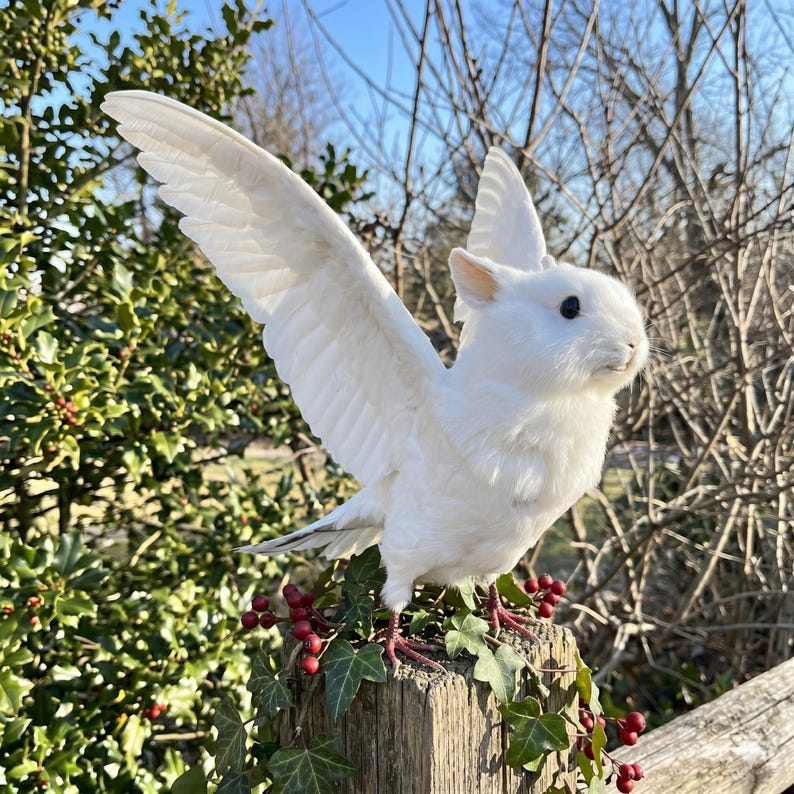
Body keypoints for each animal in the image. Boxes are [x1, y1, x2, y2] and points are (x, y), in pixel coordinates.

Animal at [102, 91, 649, 667]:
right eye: (570, 308)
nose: (635, 344)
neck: (546, 398)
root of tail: (375, 497)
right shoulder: (410, 549)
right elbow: (395, 598)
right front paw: (396, 647)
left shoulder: (504, 552)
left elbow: (493, 587)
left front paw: (505, 622)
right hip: (401, 535)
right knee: (394, 596)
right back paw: (398, 646)